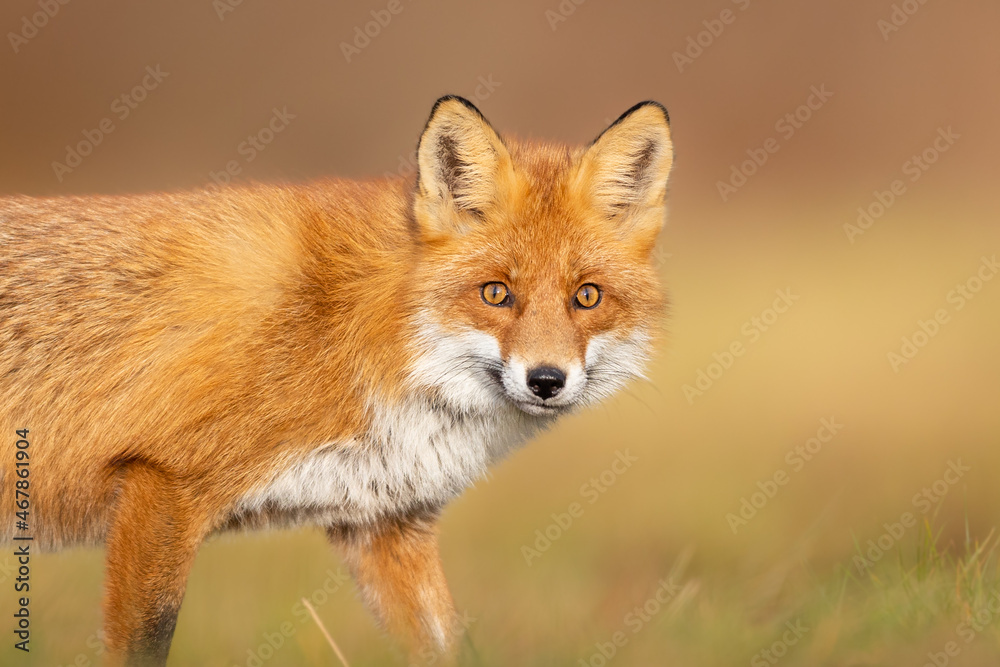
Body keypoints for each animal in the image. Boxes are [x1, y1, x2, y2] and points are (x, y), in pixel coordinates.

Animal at [0, 96, 674, 665]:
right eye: (496, 294)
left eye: (586, 296)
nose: (546, 380)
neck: (360, 331)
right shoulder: (164, 483)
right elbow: (143, 646)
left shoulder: (384, 524)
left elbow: (446, 648)